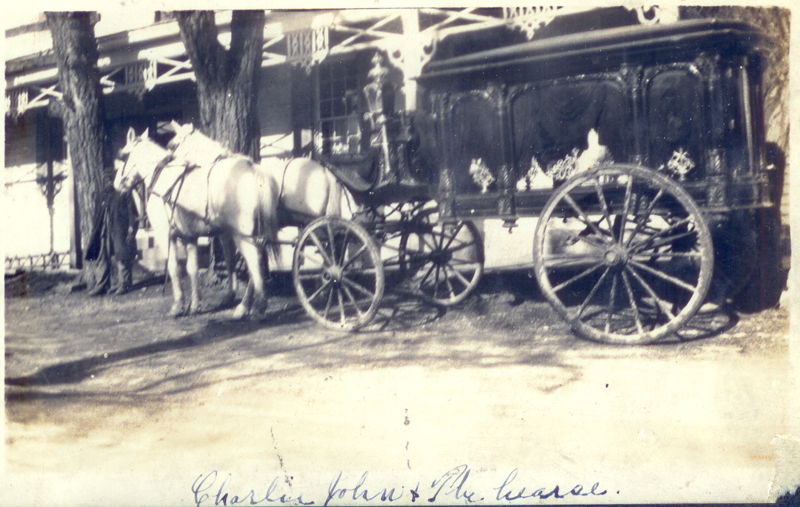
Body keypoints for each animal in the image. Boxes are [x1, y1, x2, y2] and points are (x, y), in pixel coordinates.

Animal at [111, 126, 276, 318]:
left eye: (123, 156)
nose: (116, 184)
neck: (163, 176)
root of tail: (253, 170)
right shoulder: (190, 236)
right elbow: (192, 269)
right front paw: (195, 304)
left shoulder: (166, 234)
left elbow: (174, 268)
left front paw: (177, 305)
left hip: (242, 235)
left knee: (253, 262)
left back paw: (253, 305)